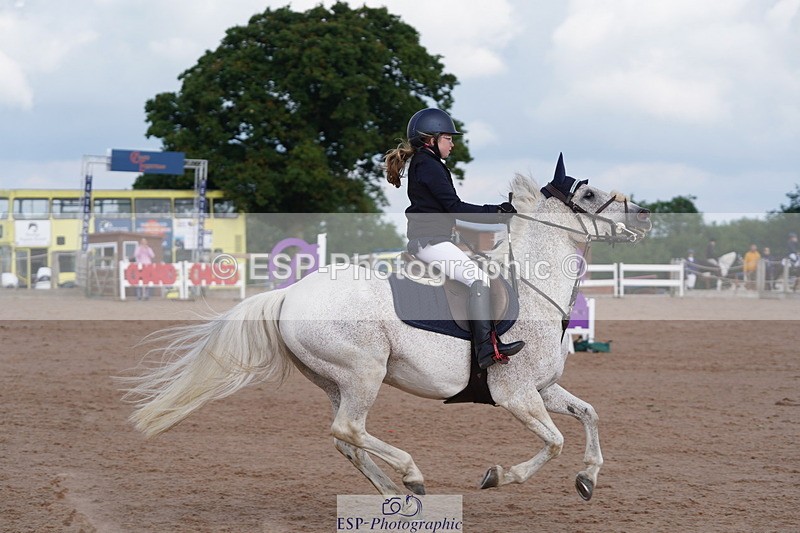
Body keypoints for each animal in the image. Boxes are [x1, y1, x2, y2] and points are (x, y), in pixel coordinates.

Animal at [122, 155, 652, 502]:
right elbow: (554, 442)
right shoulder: (516, 394)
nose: (645, 215)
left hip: (335, 380)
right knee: (348, 428)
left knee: (346, 440)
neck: (533, 290)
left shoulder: (544, 388)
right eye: (588, 194)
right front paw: (500, 475)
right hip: (364, 372)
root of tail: (289, 293)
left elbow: (588, 415)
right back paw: (411, 474)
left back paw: (398, 493)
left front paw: (588, 477)